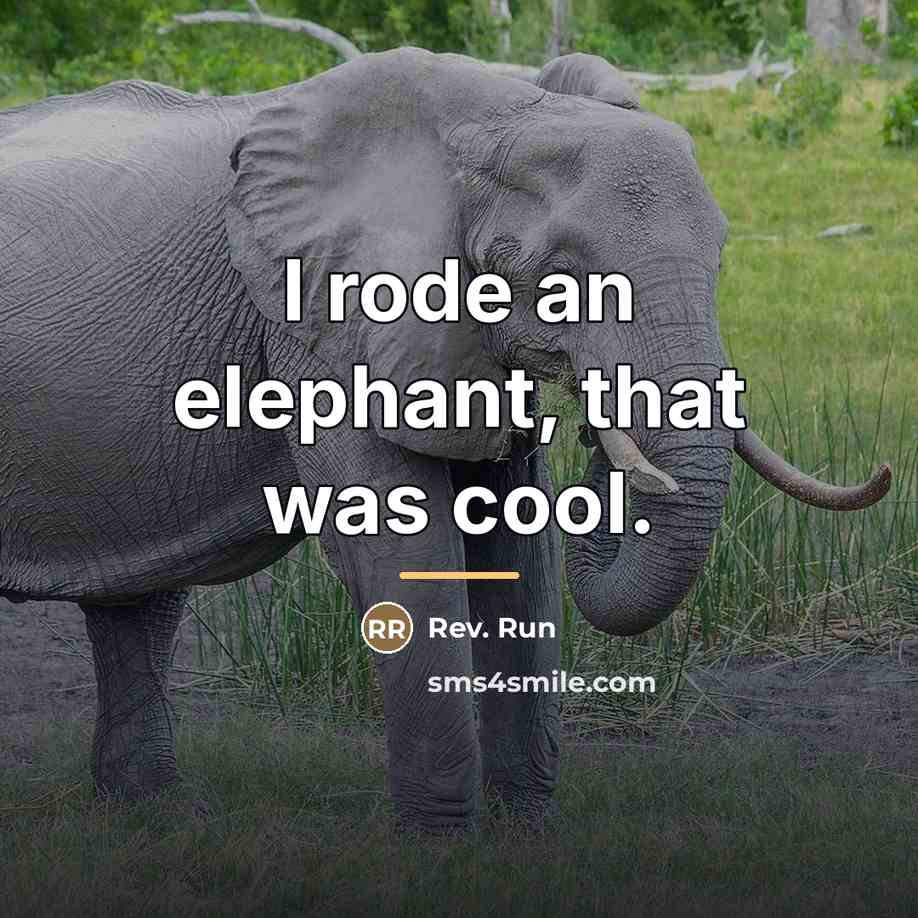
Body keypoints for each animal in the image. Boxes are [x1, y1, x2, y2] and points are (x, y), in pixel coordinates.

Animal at [0, 48, 890, 830]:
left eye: (721, 258)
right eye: (555, 276)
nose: (598, 435)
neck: (491, 115)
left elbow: (519, 550)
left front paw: (523, 836)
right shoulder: (320, 318)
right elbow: (399, 543)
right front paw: (442, 847)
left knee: (138, 602)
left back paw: (160, 815)